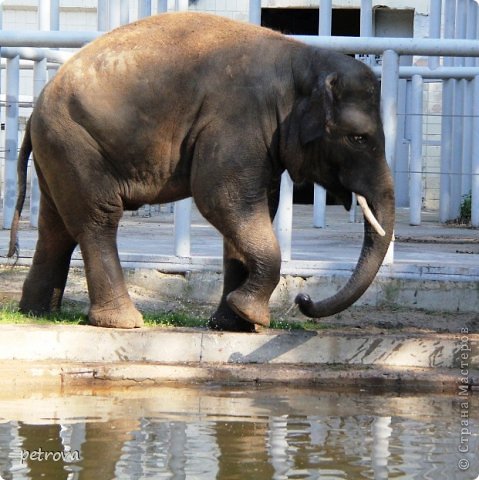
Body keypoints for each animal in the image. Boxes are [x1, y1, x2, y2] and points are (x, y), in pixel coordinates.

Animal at [9, 11, 396, 330]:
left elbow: (253, 210)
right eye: (358, 138)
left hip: (59, 152)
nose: (303, 300)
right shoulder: (236, 121)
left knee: (56, 226)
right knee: (98, 220)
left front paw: (235, 324)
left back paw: (38, 313)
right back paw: (123, 322)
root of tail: (37, 109)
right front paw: (252, 316)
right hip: (77, 145)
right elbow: (222, 200)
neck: (303, 57)